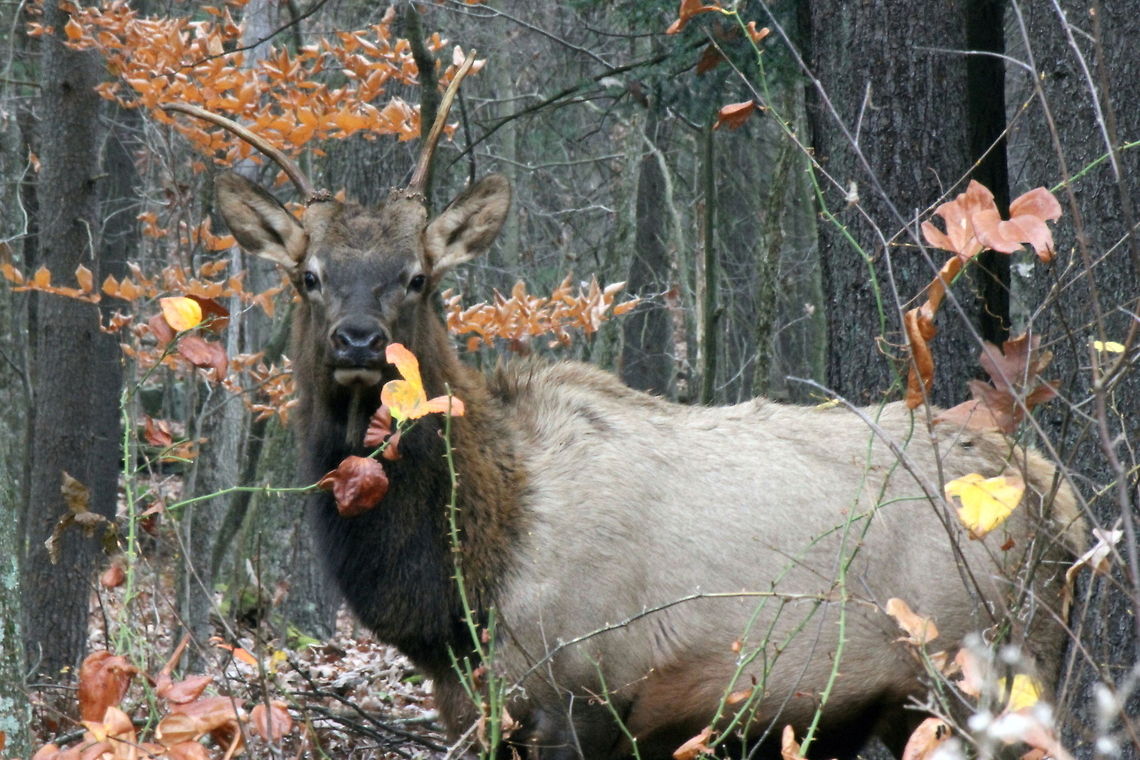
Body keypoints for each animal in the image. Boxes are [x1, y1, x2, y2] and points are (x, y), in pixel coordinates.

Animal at [169, 57, 1084, 760]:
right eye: (308, 275)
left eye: (418, 276)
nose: (359, 340)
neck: (460, 592)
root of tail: (1066, 508)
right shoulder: (476, 708)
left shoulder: (587, 690)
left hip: (985, 675)